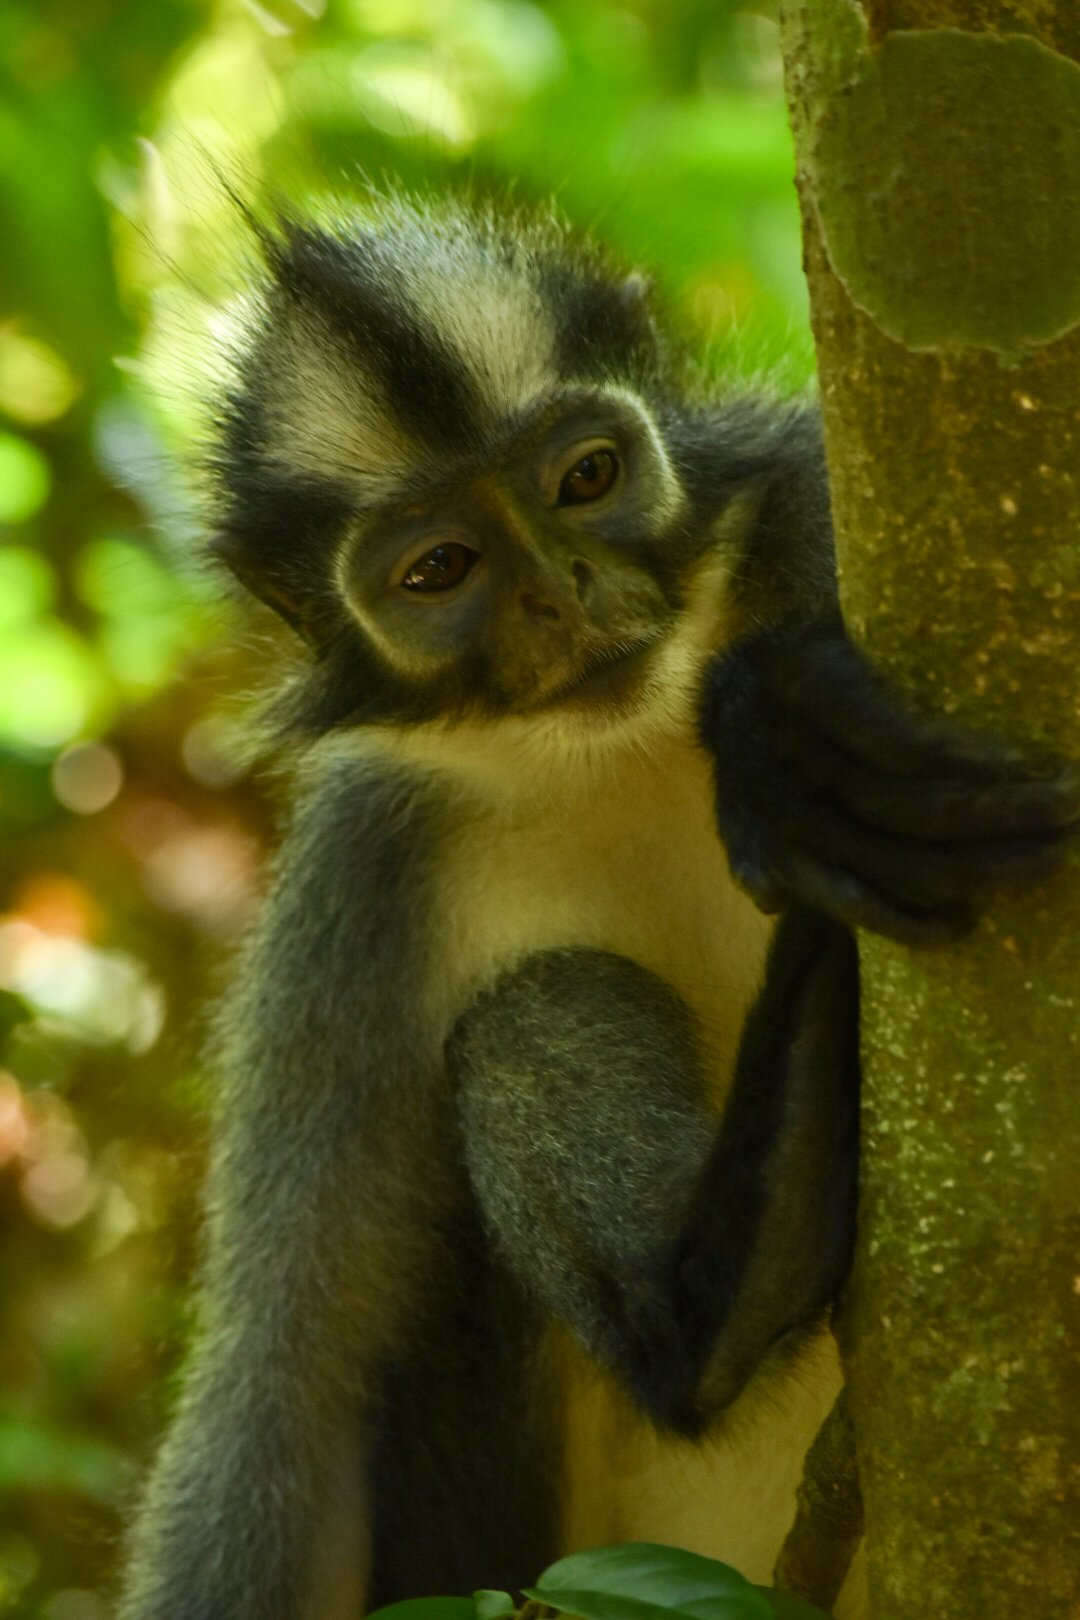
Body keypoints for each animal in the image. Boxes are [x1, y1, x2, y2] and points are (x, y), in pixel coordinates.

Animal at [117, 194, 1078, 1620]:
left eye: (586, 480)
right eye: (440, 567)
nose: (561, 593)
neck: (621, 740)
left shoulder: (806, 497)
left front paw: (775, 740)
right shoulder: (360, 877)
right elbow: (287, 1398)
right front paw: (787, 760)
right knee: (530, 1016)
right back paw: (718, 1303)